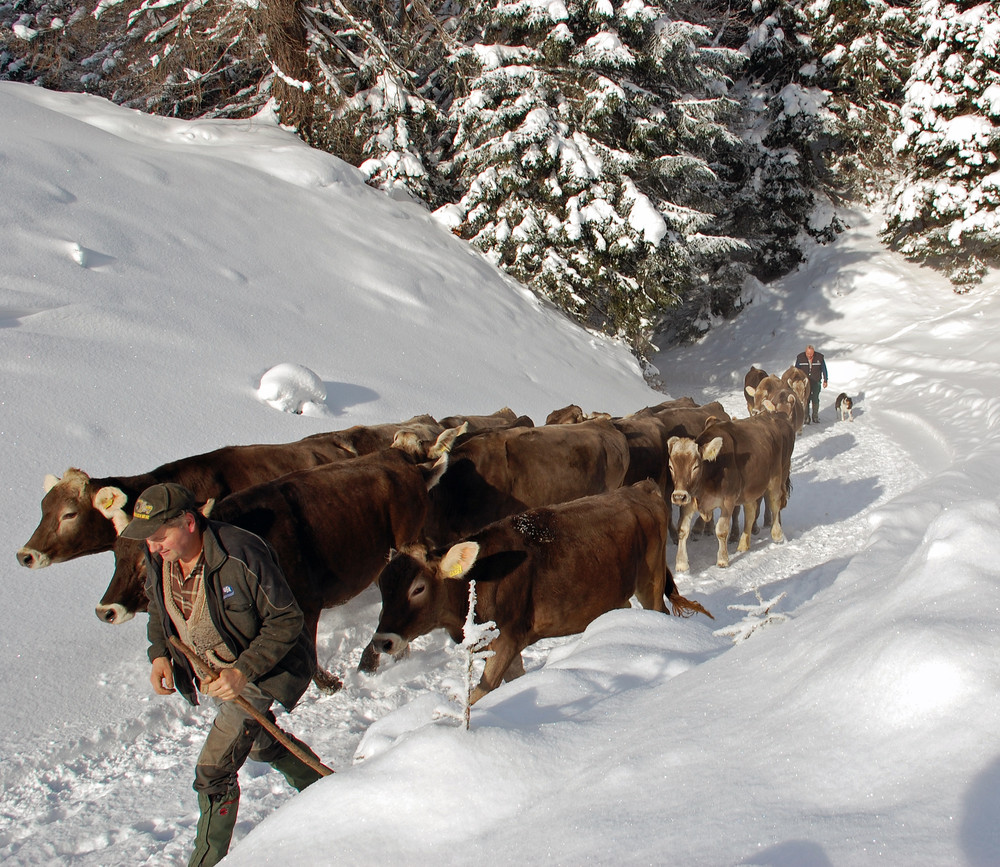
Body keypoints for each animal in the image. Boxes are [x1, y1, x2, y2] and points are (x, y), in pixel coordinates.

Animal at [94, 430, 460, 688]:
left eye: (144, 564)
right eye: (115, 555)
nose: (105, 611)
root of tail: (406, 462)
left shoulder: (303, 603)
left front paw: (330, 685)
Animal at [370, 482, 712, 704]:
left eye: (418, 588)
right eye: (383, 588)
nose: (382, 641)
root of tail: (642, 487)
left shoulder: (508, 637)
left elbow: (480, 693)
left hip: (650, 580)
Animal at [668, 412, 792, 572]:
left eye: (695, 467)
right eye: (671, 466)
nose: (678, 496)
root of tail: (770, 417)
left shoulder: (728, 501)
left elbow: (721, 530)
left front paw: (722, 560)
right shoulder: (688, 501)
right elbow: (683, 530)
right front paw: (682, 564)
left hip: (776, 478)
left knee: (775, 504)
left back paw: (777, 535)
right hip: (749, 489)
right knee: (751, 512)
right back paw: (743, 544)